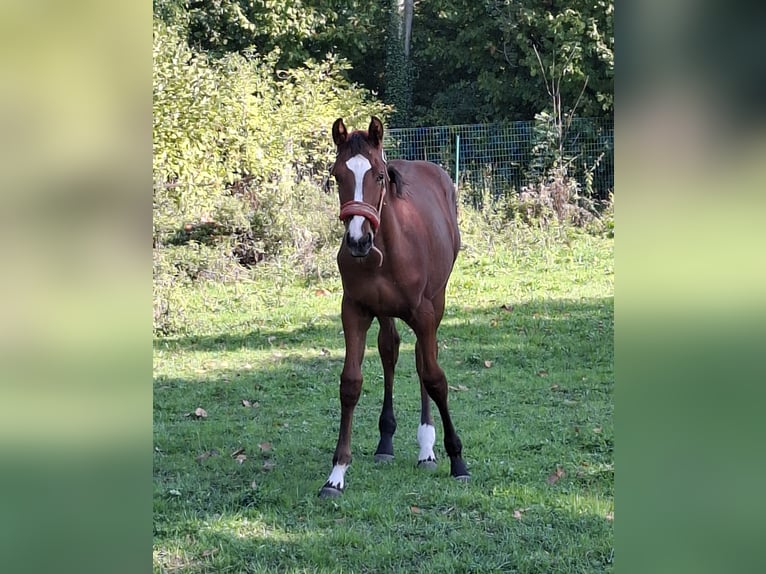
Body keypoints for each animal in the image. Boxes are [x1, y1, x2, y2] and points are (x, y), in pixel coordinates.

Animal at [319, 116, 469, 497]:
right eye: (337, 175)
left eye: (378, 176)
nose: (358, 241)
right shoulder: (354, 311)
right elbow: (350, 383)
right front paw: (336, 473)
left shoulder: (424, 313)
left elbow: (435, 377)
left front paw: (457, 460)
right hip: (386, 312)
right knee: (390, 350)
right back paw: (385, 442)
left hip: (437, 300)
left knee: (422, 359)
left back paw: (427, 448)